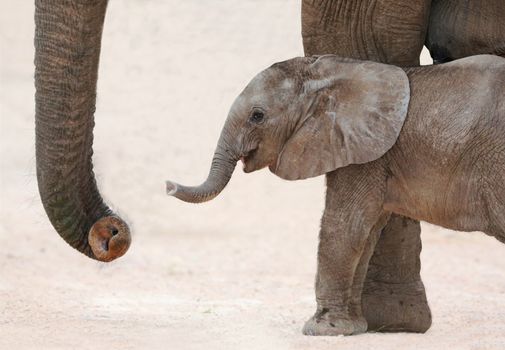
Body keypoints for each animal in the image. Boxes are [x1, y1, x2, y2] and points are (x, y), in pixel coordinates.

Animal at [166, 54, 504, 336]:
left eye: (257, 116)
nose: (168, 185)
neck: (329, 73)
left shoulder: (362, 153)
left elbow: (343, 226)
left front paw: (321, 330)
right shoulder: (366, 151)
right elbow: (366, 234)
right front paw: (352, 329)